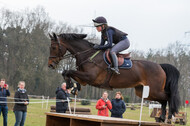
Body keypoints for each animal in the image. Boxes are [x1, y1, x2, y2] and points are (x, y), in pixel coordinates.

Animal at [47, 32, 180, 122]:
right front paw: (73, 87)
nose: (50, 65)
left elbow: (68, 71)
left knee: (168, 97)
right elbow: (67, 73)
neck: (89, 55)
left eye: (53, 47)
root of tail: (160, 66)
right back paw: (161, 118)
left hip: (154, 90)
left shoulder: (90, 77)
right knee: (163, 100)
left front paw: (71, 86)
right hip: (144, 92)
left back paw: (168, 117)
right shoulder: (84, 79)